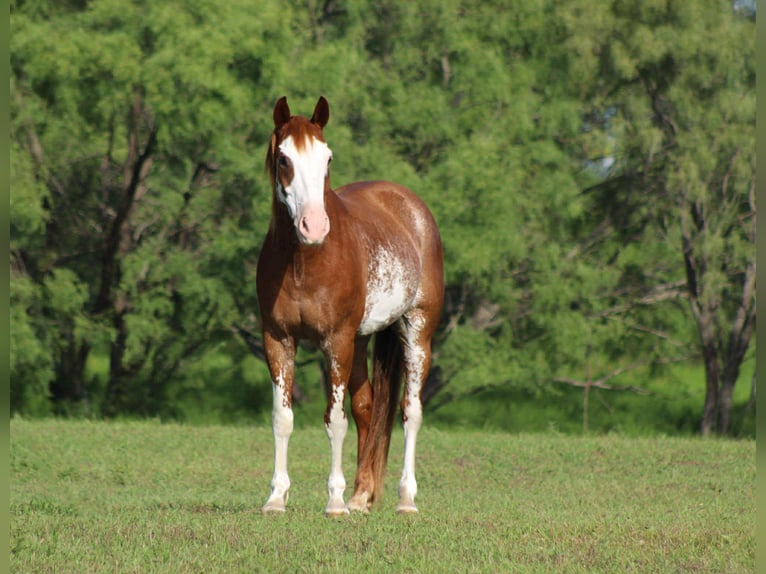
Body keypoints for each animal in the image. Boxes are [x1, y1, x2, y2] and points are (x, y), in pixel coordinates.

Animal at [256, 96, 444, 515]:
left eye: (327, 158)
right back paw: (362, 495)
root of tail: (411, 207)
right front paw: (276, 496)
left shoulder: (336, 341)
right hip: (360, 341)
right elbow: (282, 418)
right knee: (368, 407)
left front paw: (334, 500)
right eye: (284, 159)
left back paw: (405, 499)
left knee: (410, 412)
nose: (313, 226)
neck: (304, 262)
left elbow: (335, 420)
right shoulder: (278, 340)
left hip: (416, 333)